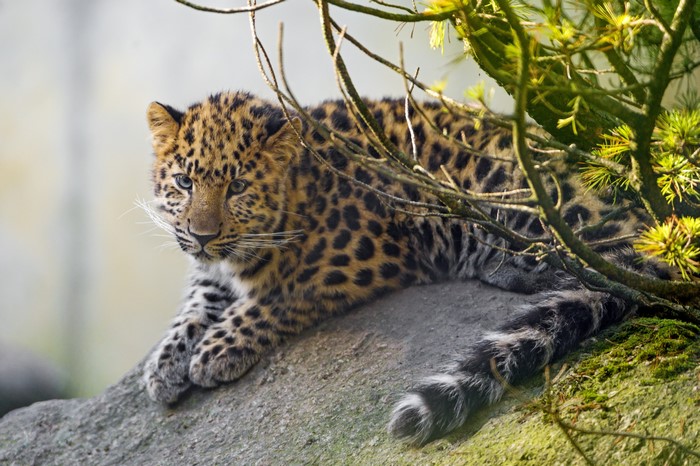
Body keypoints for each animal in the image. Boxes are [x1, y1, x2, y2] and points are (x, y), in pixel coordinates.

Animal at [142, 91, 665, 445]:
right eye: (184, 182)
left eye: (238, 186)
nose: (202, 235)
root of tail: (655, 226)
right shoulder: (209, 270)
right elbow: (192, 307)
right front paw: (164, 366)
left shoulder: (356, 254)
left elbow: (278, 294)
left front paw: (215, 351)